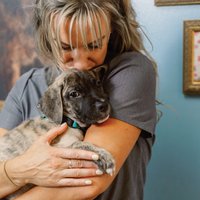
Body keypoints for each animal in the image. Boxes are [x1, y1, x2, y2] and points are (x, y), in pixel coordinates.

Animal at [0, 67, 115, 200]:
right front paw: (104, 157)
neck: (68, 121)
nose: (103, 105)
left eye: (97, 83)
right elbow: (82, 144)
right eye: (74, 94)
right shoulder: (58, 148)